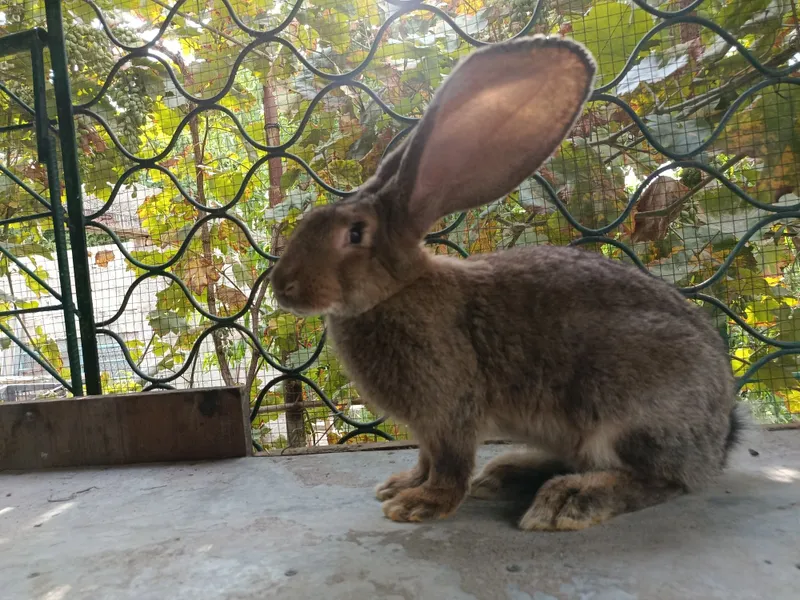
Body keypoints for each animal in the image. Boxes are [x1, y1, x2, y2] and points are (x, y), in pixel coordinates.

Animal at [269, 36, 743, 531]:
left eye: (355, 234)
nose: (283, 287)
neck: (397, 290)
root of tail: (718, 435)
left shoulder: (450, 411)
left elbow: (449, 463)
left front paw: (420, 504)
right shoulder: (427, 427)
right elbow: (425, 458)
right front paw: (401, 485)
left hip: (628, 409)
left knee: (660, 480)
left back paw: (567, 500)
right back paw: (508, 473)